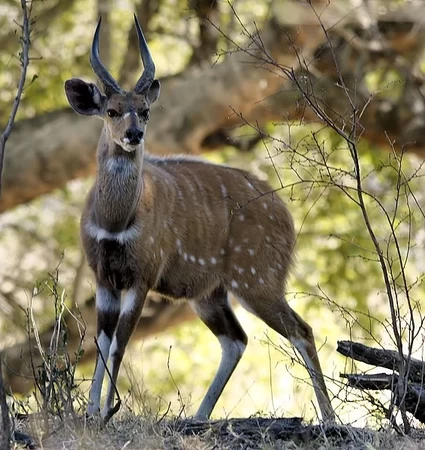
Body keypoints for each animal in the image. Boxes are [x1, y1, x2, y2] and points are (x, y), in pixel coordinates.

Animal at [64, 15, 335, 423]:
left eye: (144, 110)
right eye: (111, 111)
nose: (134, 134)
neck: (115, 220)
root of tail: (285, 212)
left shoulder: (143, 275)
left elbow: (120, 342)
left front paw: (107, 411)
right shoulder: (104, 275)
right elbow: (103, 338)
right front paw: (93, 411)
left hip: (256, 279)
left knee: (300, 330)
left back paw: (330, 418)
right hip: (209, 293)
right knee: (236, 339)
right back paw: (198, 416)